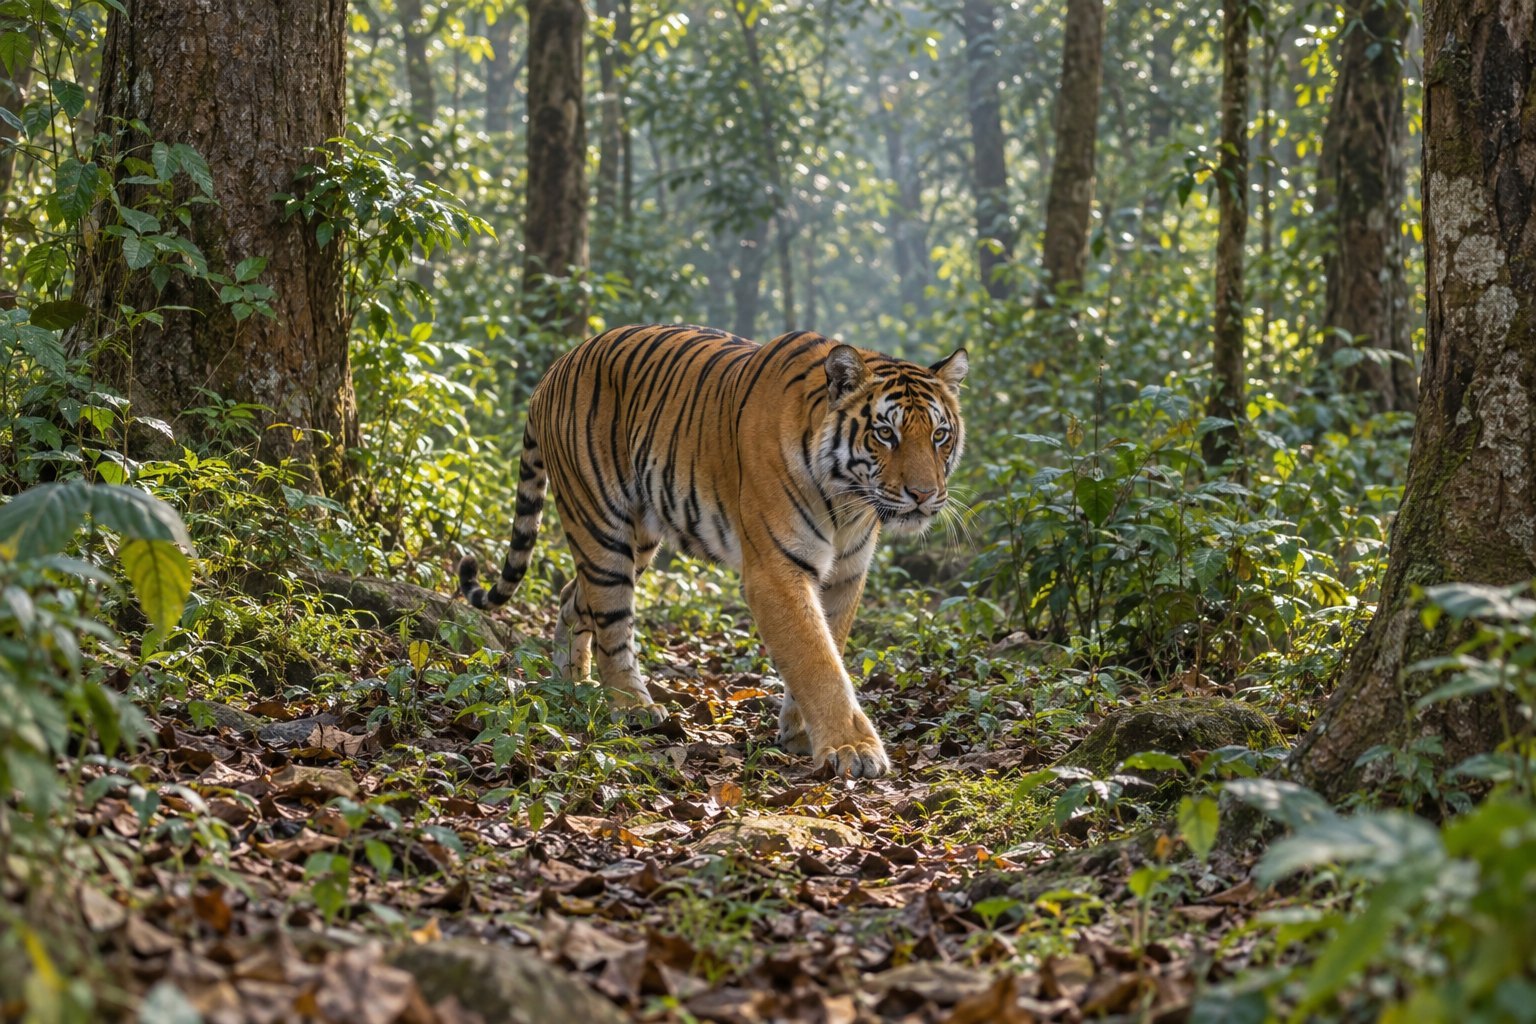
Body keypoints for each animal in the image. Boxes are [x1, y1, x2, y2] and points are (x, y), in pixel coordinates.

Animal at [459, 324, 967, 778]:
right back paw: (631, 708)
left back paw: (572, 687)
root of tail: (555, 368)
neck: (848, 502)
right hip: (600, 526)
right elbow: (816, 659)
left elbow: (830, 647)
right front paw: (852, 748)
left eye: (939, 435)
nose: (924, 495)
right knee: (612, 626)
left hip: (638, 540)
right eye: (885, 434)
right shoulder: (777, 569)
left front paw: (801, 732)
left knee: (572, 597)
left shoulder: (846, 573)